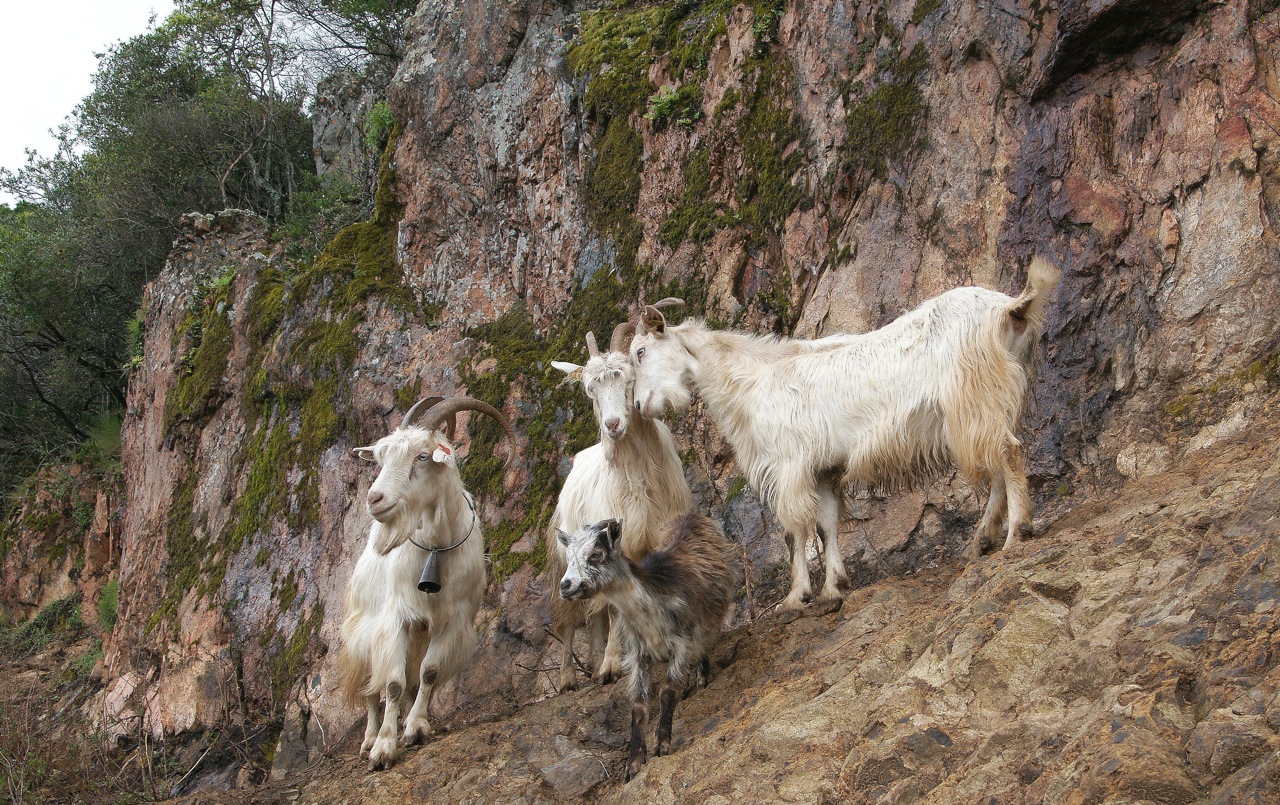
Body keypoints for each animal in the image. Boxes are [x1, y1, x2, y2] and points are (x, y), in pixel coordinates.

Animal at [340, 396, 519, 773]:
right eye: (381, 457)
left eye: (422, 456)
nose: (374, 499)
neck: (435, 548)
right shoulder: (396, 618)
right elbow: (392, 684)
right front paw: (384, 748)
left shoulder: (452, 621)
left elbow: (429, 673)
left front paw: (417, 728)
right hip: (363, 630)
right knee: (370, 690)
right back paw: (368, 740)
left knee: (410, 681)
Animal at [547, 313, 696, 691]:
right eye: (590, 389)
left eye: (628, 378)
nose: (612, 424)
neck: (639, 479)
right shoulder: (614, 543)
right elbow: (616, 608)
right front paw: (614, 666)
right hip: (565, 559)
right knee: (571, 619)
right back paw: (570, 677)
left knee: (596, 612)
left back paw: (595, 662)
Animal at [555, 511, 737, 783]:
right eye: (567, 558)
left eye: (596, 554)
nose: (566, 586)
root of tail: (691, 515)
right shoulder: (638, 655)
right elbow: (639, 707)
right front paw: (633, 765)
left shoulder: (681, 645)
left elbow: (667, 692)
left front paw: (662, 746)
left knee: (704, 641)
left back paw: (703, 677)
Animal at [629, 257, 1059, 609]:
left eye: (639, 352)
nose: (639, 405)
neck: (753, 381)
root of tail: (1008, 308)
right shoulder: (823, 469)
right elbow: (827, 523)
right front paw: (834, 587)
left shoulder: (791, 465)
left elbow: (796, 528)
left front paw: (796, 596)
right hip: (990, 404)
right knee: (998, 462)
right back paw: (979, 542)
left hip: (975, 398)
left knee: (1008, 454)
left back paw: (1015, 534)